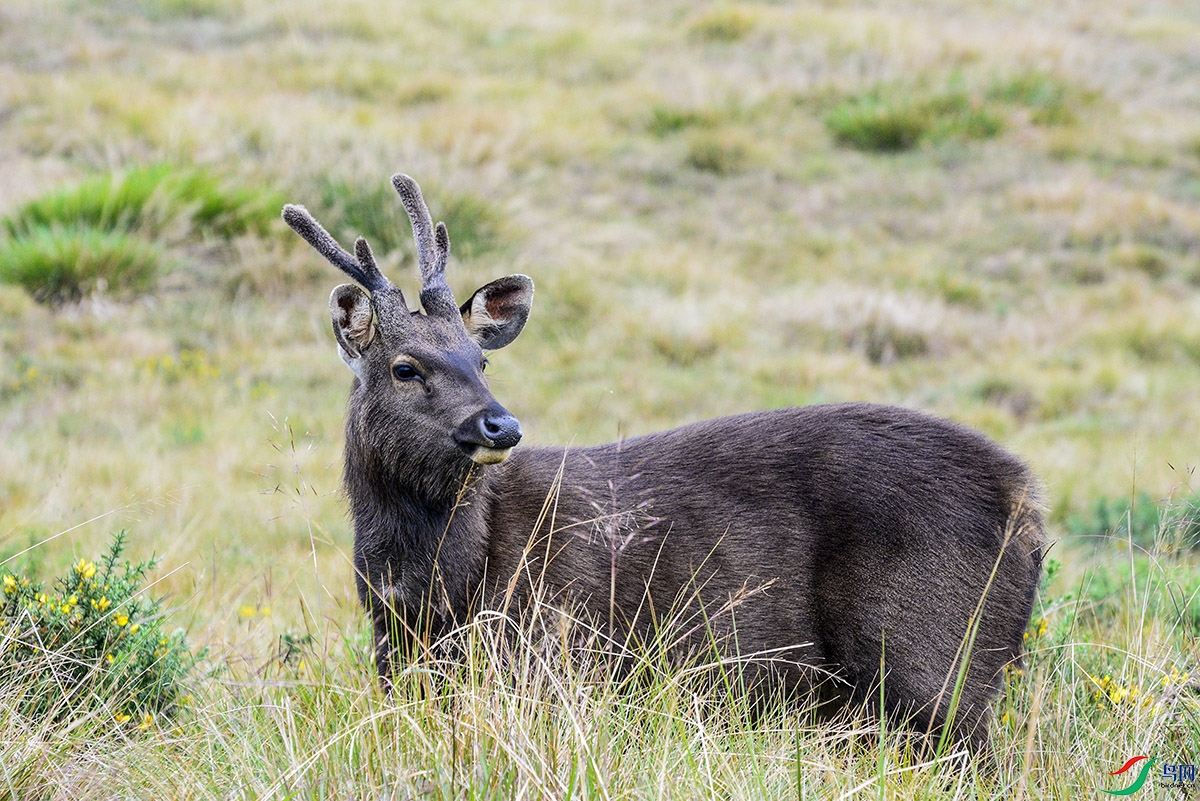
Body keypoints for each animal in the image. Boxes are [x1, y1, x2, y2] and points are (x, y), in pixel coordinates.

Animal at [280, 172, 1041, 753]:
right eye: (406, 366)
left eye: (481, 359)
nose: (500, 422)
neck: (428, 596)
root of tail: (1028, 501)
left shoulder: (553, 661)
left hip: (933, 656)